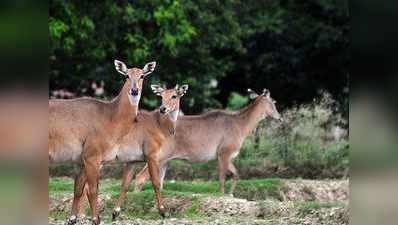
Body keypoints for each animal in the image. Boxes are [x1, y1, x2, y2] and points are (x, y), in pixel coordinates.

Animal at [49, 59, 156, 225]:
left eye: (142, 75)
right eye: (126, 75)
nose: (134, 90)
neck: (110, 118)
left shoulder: (81, 160)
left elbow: (78, 190)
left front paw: (72, 219)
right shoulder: (92, 155)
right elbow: (93, 190)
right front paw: (95, 219)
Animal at [110, 88, 282, 220]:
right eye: (273, 102)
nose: (280, 118)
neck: (241, 124)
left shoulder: (228, 157)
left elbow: (236, 174)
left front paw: (231, 195)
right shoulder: (224, 153)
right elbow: (222, 178)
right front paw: (222, 196)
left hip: (164, 161)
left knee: (157, 180)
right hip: (157, 158)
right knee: (140, 178)